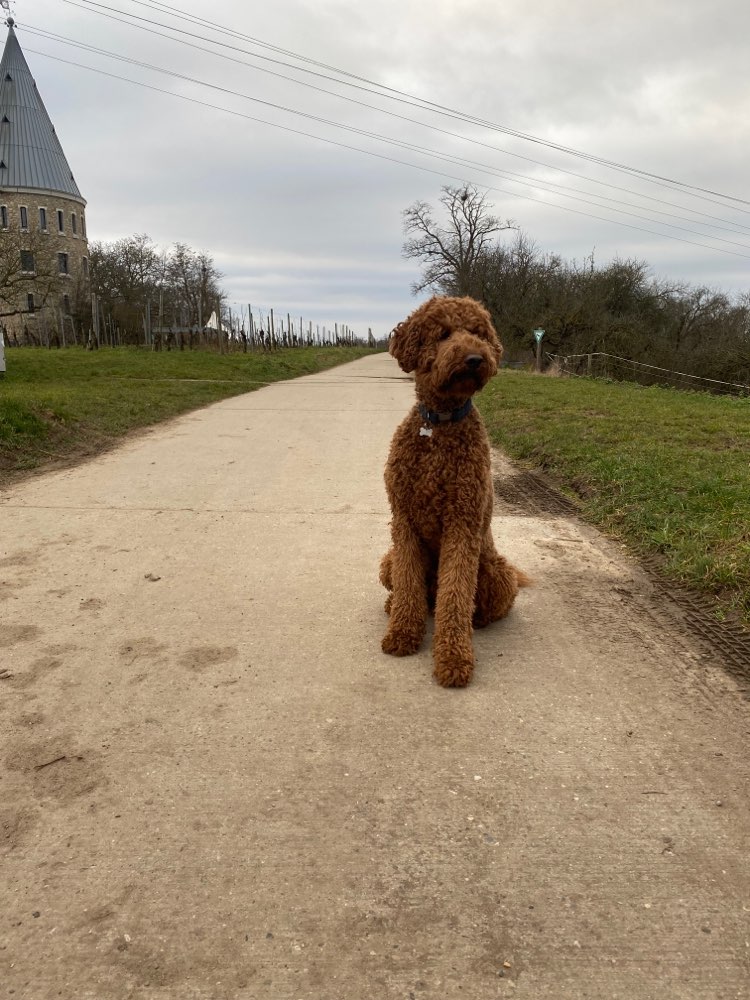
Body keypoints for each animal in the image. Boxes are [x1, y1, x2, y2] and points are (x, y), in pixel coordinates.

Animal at [378, 296, 532, 688]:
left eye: (478, 332)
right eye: (444, 333)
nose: (476, 358)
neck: (440, 426)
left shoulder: (462, 523)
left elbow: (455, 596)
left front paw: (453, 658)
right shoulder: (403, 521)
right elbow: (408, 583)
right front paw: (402, 633)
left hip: (497, 571)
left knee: (474, 604)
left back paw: (476, 620)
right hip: (387, 560)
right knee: (412, 590)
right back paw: (394, 607)